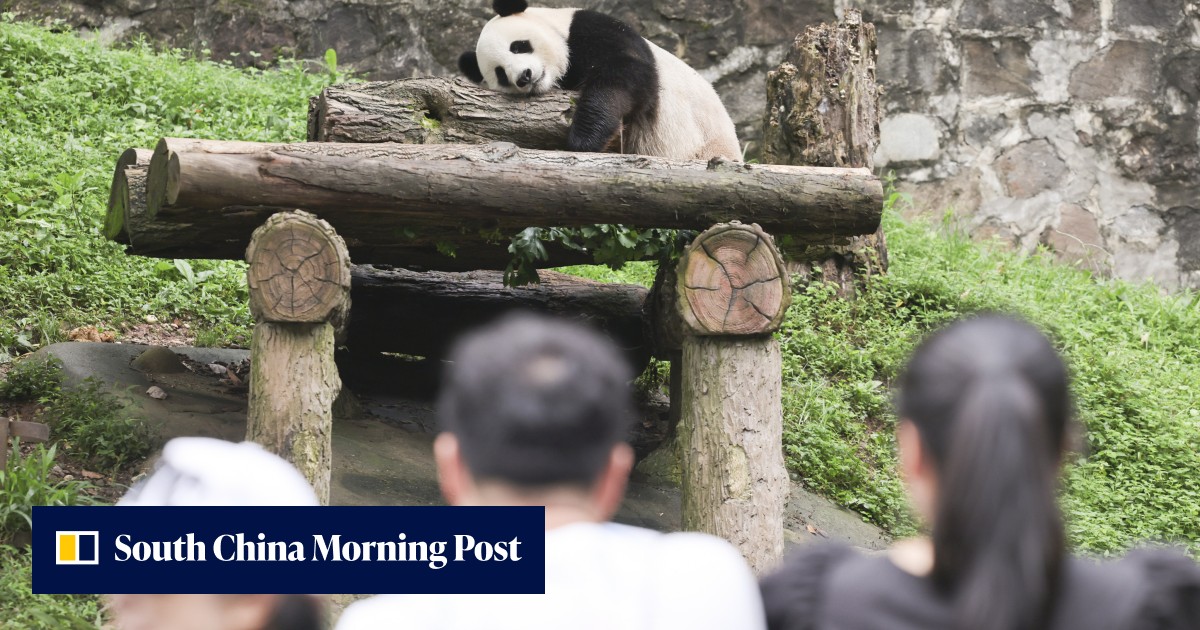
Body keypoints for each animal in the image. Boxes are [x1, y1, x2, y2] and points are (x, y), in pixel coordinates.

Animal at [458, 0, 742, 161]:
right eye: (500, 73)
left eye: (518, 46)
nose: (524, 77)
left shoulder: (592, 29)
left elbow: (623, 75)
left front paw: (584, 138)